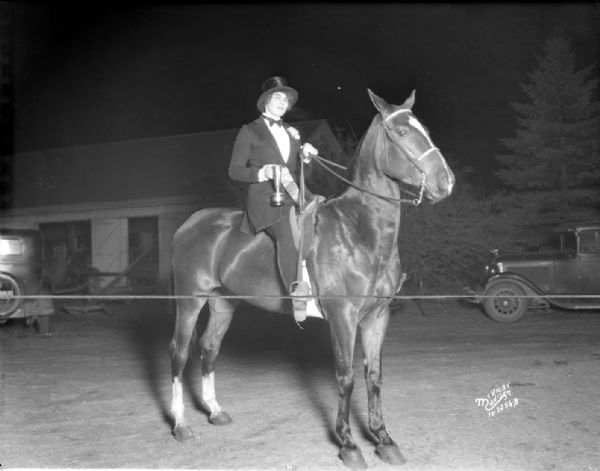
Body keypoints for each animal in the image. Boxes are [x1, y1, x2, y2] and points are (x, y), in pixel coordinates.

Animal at [169, 90, 454, 470]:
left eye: (425, 130)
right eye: (402, 133)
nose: (446, 182)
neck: (359, 230)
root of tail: (190, 223)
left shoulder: (378, 316)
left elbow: (374, 377)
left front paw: (383, 439)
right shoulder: (343, 318)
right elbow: (346, 378)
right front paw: (348, 445)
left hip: (223, 304)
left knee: (209, 349)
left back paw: (215, 411)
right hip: (189, 301)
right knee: (180, 352)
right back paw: (181, 424)